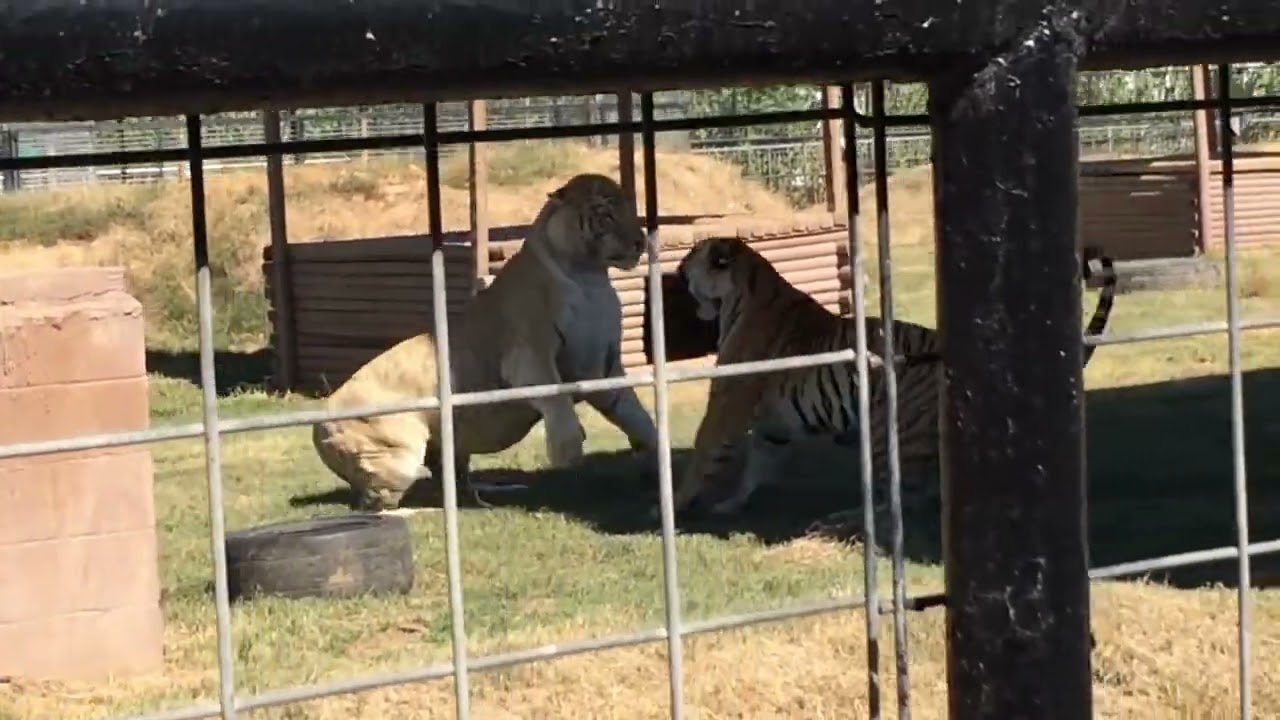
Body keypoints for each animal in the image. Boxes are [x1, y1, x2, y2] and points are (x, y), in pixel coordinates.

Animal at [659, 235, 1117, 528]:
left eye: (692, 257)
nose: (677, 268)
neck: (739, 293)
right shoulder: (773, 423)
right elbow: (758, 462)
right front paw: (731, 503)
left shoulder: (726, 402)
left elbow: (704, 451)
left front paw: (673, 506)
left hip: (884, 430)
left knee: (902, 501)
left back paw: (839, 520)